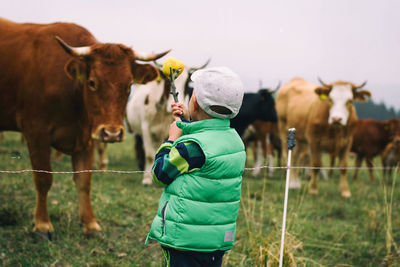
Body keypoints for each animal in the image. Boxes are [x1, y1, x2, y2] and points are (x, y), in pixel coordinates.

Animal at [0, 18, 168, 237]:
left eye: (129, 85)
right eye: (92, 82)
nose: (112, 133)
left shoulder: (87, 138)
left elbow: (84, 181)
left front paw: (90, 224)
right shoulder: (35, 132)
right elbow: (43, 179)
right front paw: (42, 224)